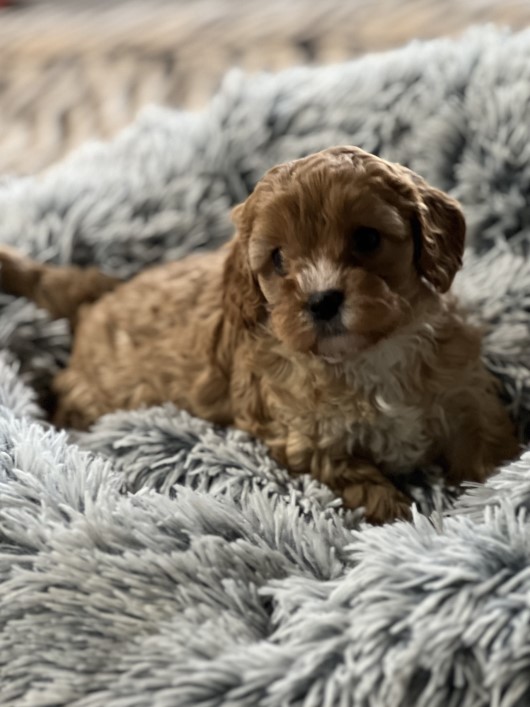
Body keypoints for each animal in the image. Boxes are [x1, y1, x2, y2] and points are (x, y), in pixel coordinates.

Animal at [0, 147, 516, 524]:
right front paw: (401, 521)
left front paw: (495, 492)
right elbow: (361, 482)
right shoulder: (306, 441)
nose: (322, 300)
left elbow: (490, 450)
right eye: (278, 259)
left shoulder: (464, 395)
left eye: (367, 239)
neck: (369, 357)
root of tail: (99, 296)